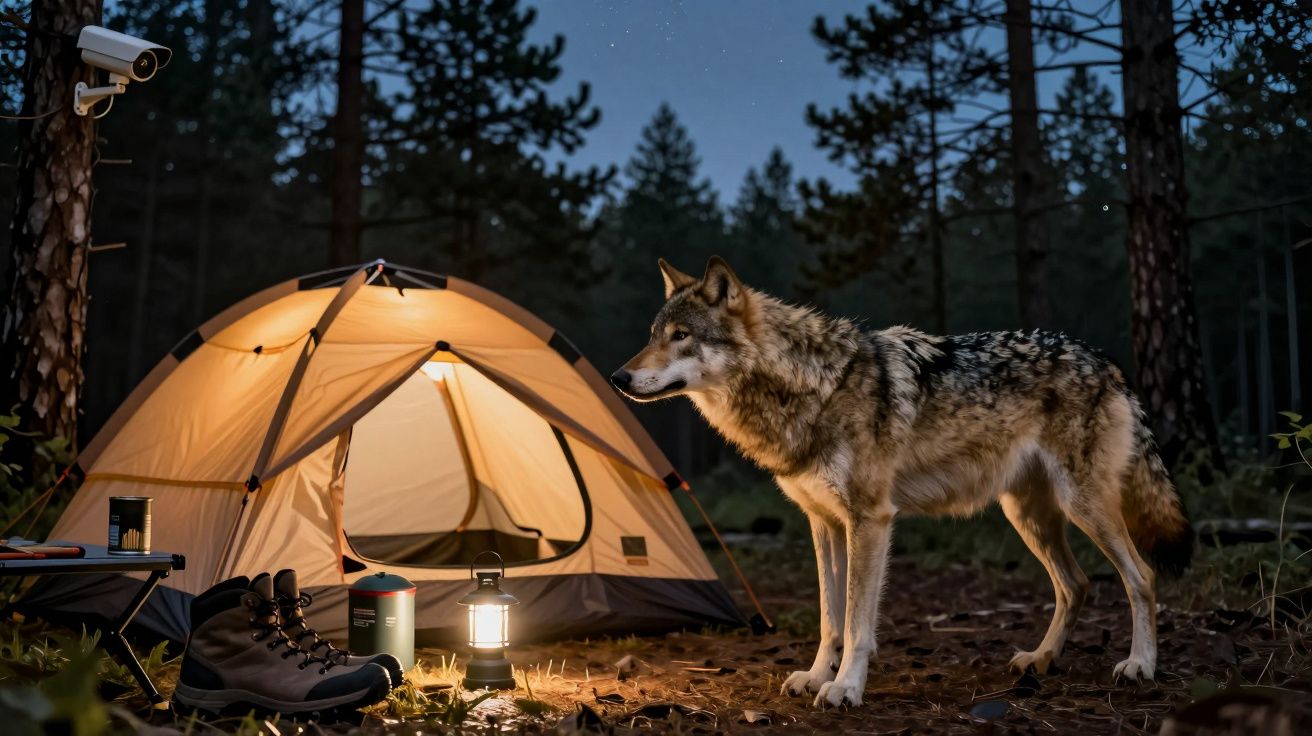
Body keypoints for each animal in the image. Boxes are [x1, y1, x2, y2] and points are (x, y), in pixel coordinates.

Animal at [610, 256, 1193, 709]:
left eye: (681, 337)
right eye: (652, 337)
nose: (618, 377)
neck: (811, 387)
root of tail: (1106, 360)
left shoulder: (870, 519)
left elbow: (856, 623)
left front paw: (846, 689)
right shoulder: (823, 523)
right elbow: (829, 618)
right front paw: (816, 677)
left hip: (1083, 507)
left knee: (1141, 576)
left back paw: (1140, 665)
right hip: (1027, 515)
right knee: (1075, 584)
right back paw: (1041, 659)